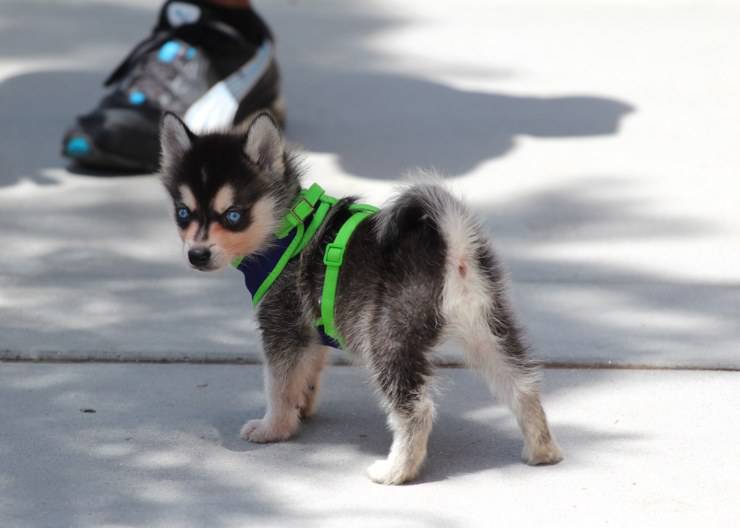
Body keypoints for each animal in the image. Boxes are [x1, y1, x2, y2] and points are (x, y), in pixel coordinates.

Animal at [156, 112, 560, 486]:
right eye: (183, 213)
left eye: (233, 215)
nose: (197, 255)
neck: (288, 224)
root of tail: (450, 244)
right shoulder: (309, 328)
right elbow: (305, 371)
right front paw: (302, 406)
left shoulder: (281, 324)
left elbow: (277, 384)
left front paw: (274, 427)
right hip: (488, 327)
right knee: (523, 384)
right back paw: (542, 449)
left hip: (387, 341)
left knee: (417, 410)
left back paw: (396, 471)